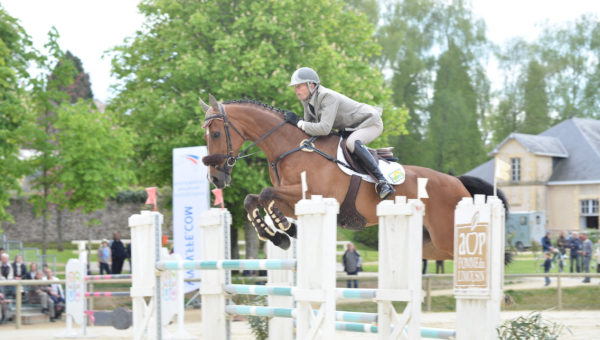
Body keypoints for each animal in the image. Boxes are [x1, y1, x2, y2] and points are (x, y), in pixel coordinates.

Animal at [200, 94, 506, 258]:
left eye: (215, 134)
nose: (216, 179)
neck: (291, 148)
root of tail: (459, 183)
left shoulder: (313, 195)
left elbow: (264, 194)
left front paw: (284, 231)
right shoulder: (293, 201)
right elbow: (254, 199)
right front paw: (279, 235)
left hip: (446, 238)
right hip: (431, 246)